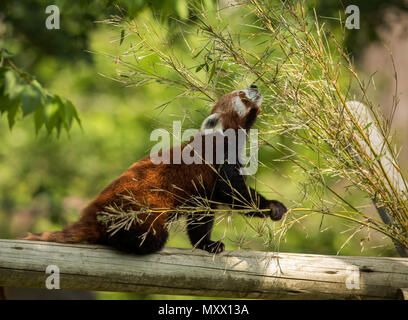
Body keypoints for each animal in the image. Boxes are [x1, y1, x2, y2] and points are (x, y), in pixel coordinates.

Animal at [23, 85, 286, 255]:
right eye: (241, 95)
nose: (254, 85)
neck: (224, 138)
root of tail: (92, 211)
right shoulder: (218, 162)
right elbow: (234, 192)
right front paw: (272, 206)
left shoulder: (202, 191)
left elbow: (202, 215)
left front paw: (206, 244)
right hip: (138, 209)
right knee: (149, 236)